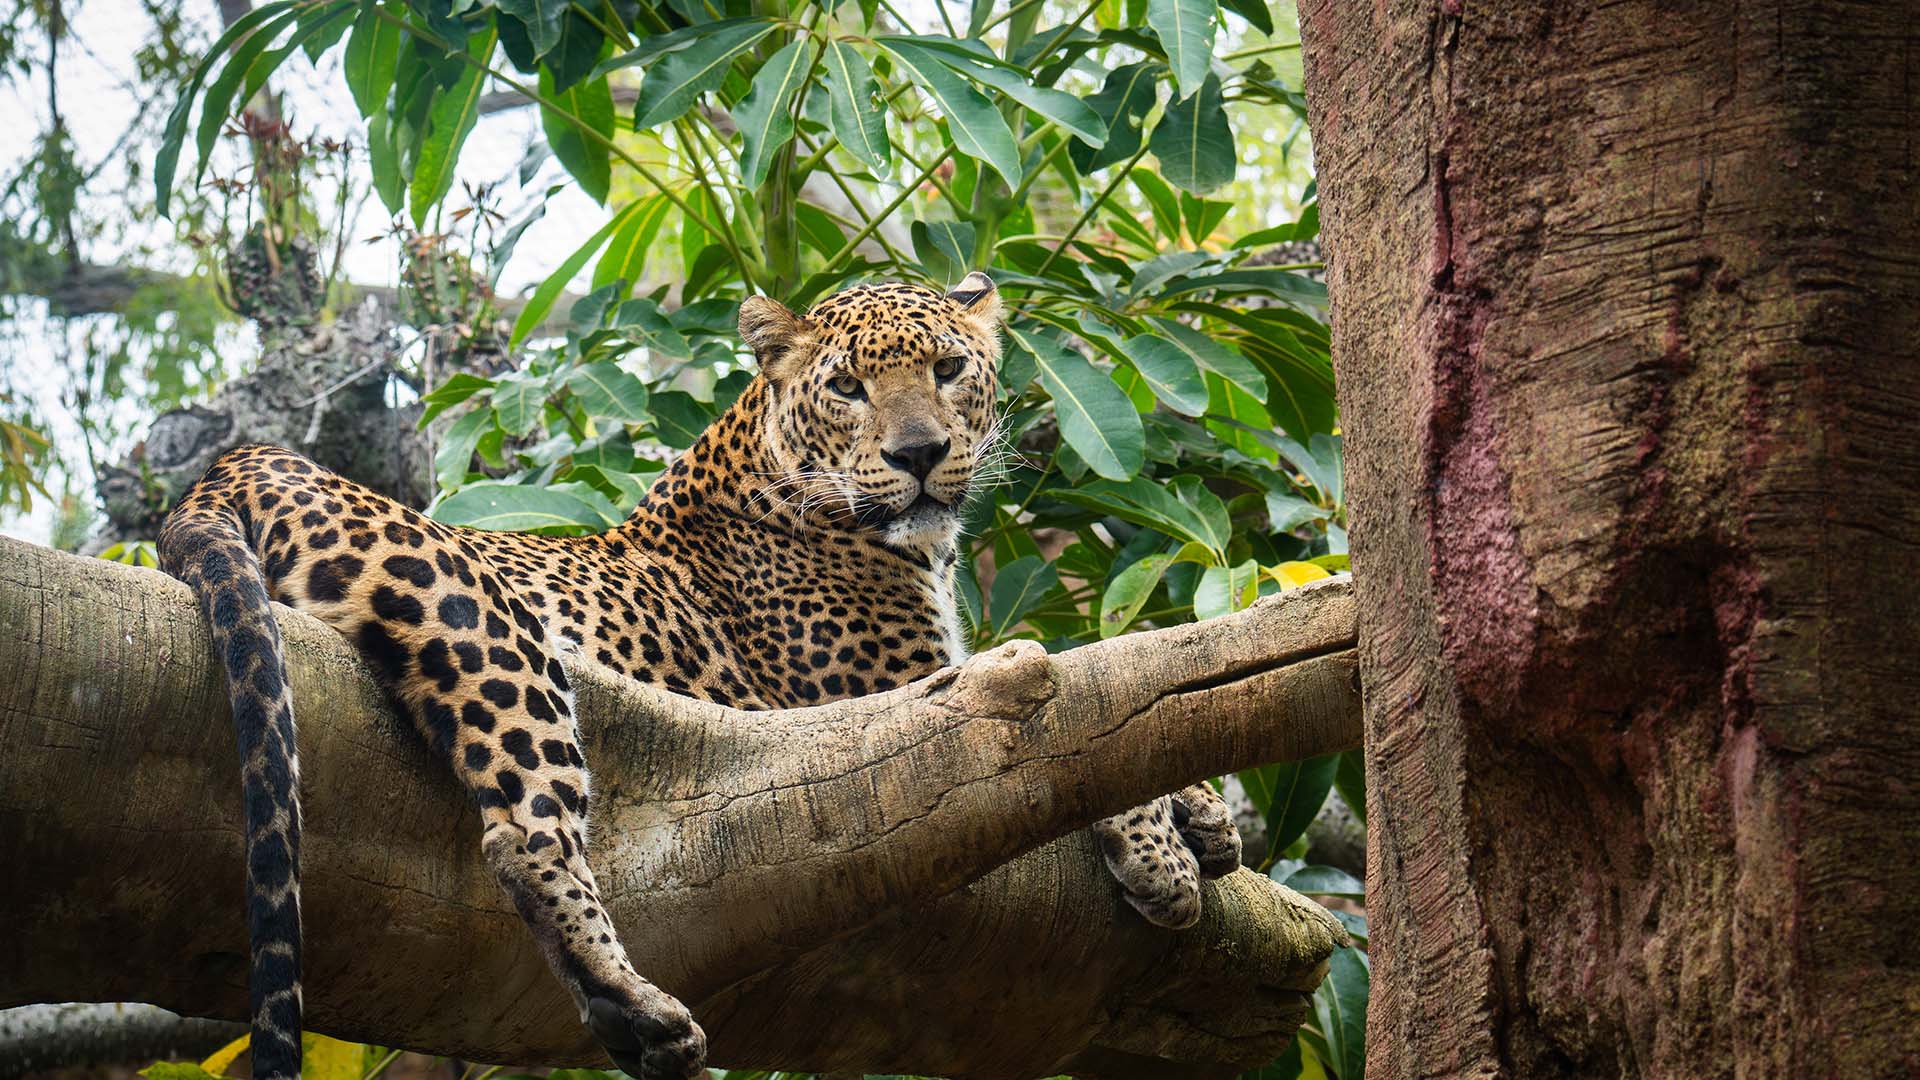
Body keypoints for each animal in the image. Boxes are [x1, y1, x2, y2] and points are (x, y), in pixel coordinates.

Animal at [158, 272, 1242, 1080]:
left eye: (947, 369)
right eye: (848, 387)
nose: (921, 453)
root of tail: (228, 470)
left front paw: (1208, 815)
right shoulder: (894, 699)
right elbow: (1062, 706)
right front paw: (1163, 851)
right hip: (480, 618)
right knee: (524, 831)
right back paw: (638, 1006)